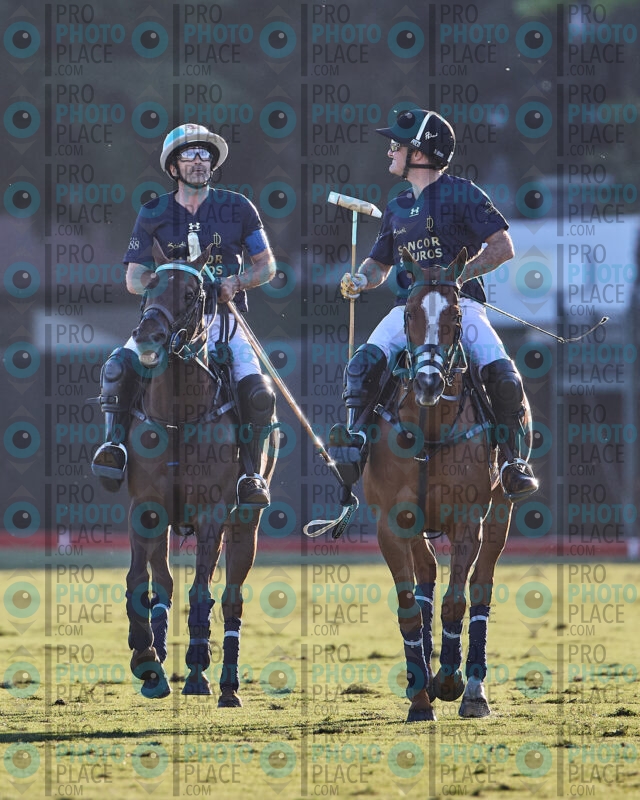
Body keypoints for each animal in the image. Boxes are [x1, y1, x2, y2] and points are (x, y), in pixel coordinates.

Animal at [122, 241, 277, 705]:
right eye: (150, 284)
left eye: (193, 294)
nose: (148, 337)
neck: (177, 412)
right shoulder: (145, 508)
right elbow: (139, 581)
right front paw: (145, 657)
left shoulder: (213, 513)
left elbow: (202, 592)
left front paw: (196, 669)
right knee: (164, 582)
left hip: (245, 522)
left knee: (230, 598)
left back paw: (226, 683)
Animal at [363, 251, 530, 721]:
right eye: (408, 314)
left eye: (456, 316)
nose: (428, 381)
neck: (430, 427)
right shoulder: (391, 524)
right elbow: (408, 607)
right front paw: (421, 698)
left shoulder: (467, 521)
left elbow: (456, 600)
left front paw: (451, 681)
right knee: (425, 579)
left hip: (500, 511)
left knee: (480, 586)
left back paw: (474, 689)